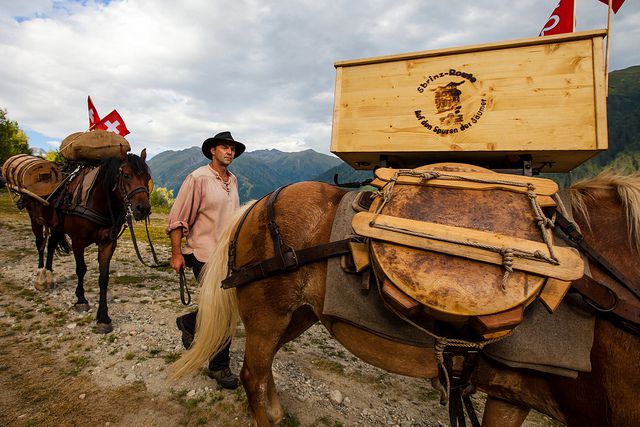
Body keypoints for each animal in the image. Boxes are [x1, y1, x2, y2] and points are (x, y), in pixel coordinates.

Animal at [24, 147, 152, 334]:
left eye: (147, 178)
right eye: (127, 175)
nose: (143, 209)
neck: (97, 201)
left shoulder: (108, 243)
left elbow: (104, 277)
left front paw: (103, 317)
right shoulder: (78, 241)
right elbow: (81, 269)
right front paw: (81, 299)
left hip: (55, 225)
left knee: (52, 243)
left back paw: (49, 275)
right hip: (35, 219)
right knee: (40, 244)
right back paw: (41, 277)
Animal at [172, 172, 636, 426]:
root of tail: (257, 205)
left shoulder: (511, 393)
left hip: (297, 317)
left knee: (263, 373)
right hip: (268, 317)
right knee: (252, 375)